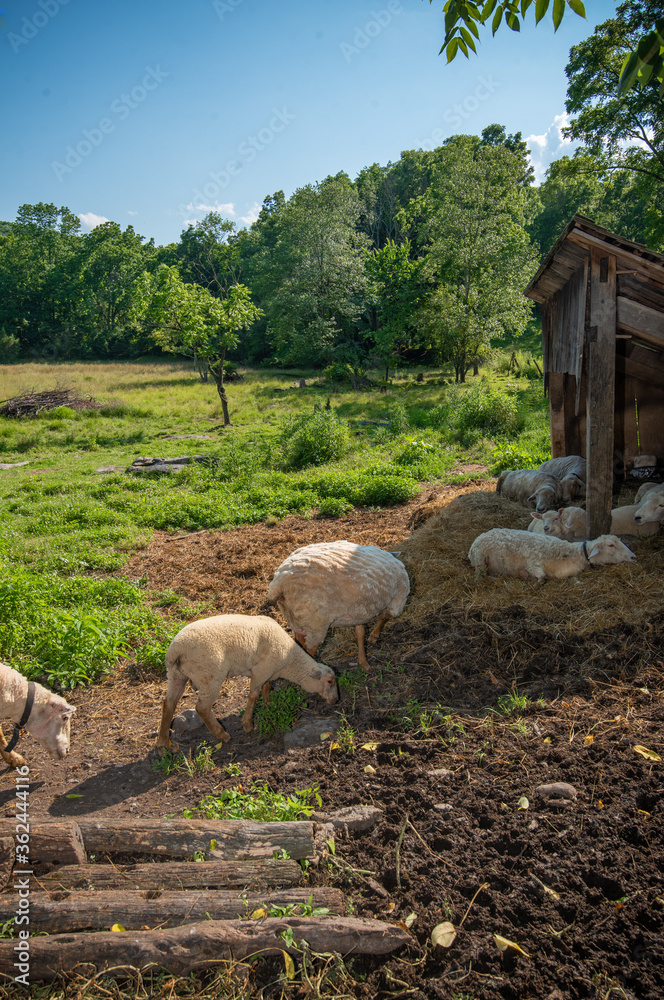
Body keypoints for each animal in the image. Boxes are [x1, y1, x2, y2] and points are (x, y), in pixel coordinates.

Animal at [156, 608, 338, 752]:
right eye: (330, 681)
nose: (336, 700)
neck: (289, 661)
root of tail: (176, 651)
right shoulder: (261, 671)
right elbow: (253, 695)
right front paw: (248, 724)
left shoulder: (267, 671)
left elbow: (266, 688)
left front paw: (267, 705)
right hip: (210, 676)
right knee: (202, 708)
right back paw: (223, 735)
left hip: (176, 675)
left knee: (169, 703)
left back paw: (163, 742)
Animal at [268, 540, 408, 672]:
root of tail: (279, 584)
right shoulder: (397, 602)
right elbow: (385, 617)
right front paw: (374, 636)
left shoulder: (359, 611)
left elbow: (360, 632)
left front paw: (362, 661)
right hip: (315, 623)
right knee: (310, 651)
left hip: (297, 620)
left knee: (300, 644)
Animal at [470, 528, 636, 584]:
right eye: (611, 545)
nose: (634, 557)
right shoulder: (533, 563)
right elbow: (542, 577)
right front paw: (531, 581)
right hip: (480, 559)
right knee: (480, 575)